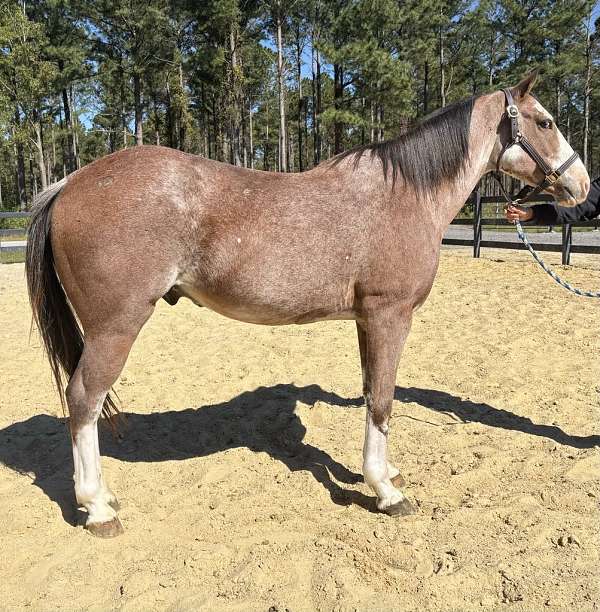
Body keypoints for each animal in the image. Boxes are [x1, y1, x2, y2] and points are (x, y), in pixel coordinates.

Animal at [27, 71, 584, 536]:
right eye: (545, 121)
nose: (581, 185)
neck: (405, 196)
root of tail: (70, 183)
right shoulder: (390, 315)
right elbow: (384, 399)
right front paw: (386, 491)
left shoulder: (367, 320)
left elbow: (371, 392)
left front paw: (381, 470)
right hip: (115, 327)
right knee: (84, 400)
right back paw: (97, 508)